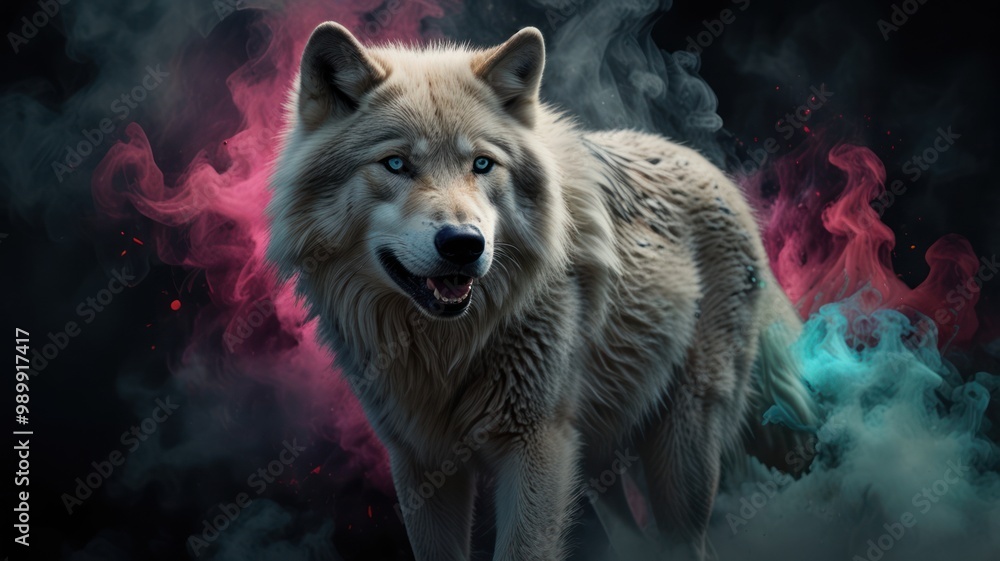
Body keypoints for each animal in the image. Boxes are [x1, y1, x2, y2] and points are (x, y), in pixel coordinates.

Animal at [267, 22, 816, 561]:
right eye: (396, 164)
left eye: (482, 164)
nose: (464, 243)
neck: (444, 350)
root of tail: (717, 174)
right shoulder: (419, 460)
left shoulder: (537, 445)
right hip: (598, 464)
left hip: (680, 451)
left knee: (689, 540)